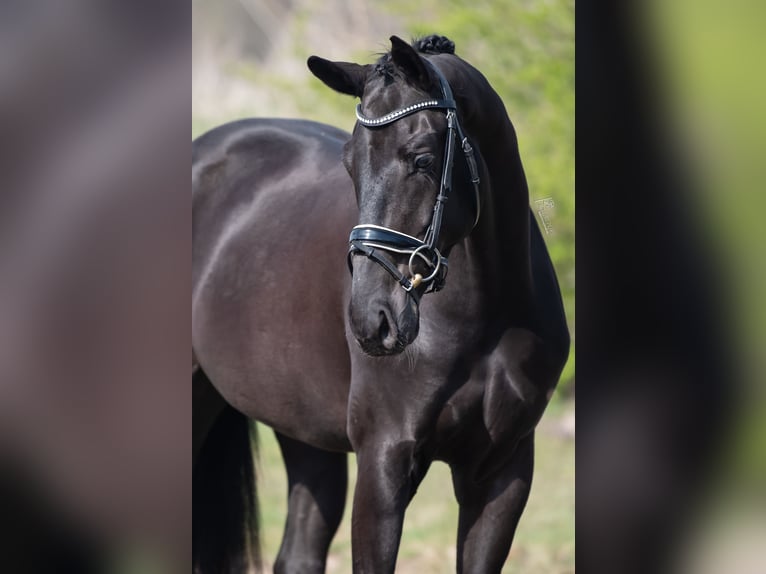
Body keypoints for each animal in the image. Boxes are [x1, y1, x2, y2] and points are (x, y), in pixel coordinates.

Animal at [192, 34, 570, 573]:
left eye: (422, 159)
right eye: (351, 163)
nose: (373, 320)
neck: (482, 319)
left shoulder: (502, 471)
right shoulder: (384, 462)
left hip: (304, 432)